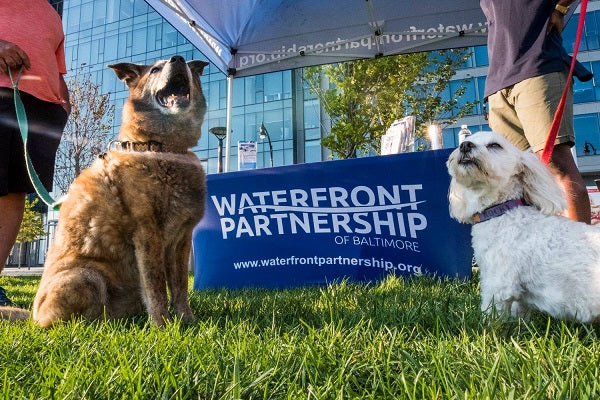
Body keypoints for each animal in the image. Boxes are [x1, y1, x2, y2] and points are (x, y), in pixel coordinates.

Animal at [0, 56, 209, 326]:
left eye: (191, 68)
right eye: (155, 69)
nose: (178, 58)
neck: (162, 148)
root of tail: (33, 317)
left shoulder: (181, 240)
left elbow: (180, 286)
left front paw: (187, 321)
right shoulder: (148, 234)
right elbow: (156, 288)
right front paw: (162, 325)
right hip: (87, 277)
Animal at [448, 131, 600, 322]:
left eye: (495, 145)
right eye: (468, 140)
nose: (465, 145)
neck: (503, 212)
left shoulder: (498, 283)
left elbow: (491, 315)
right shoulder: (519, 296)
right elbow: (519, 313)